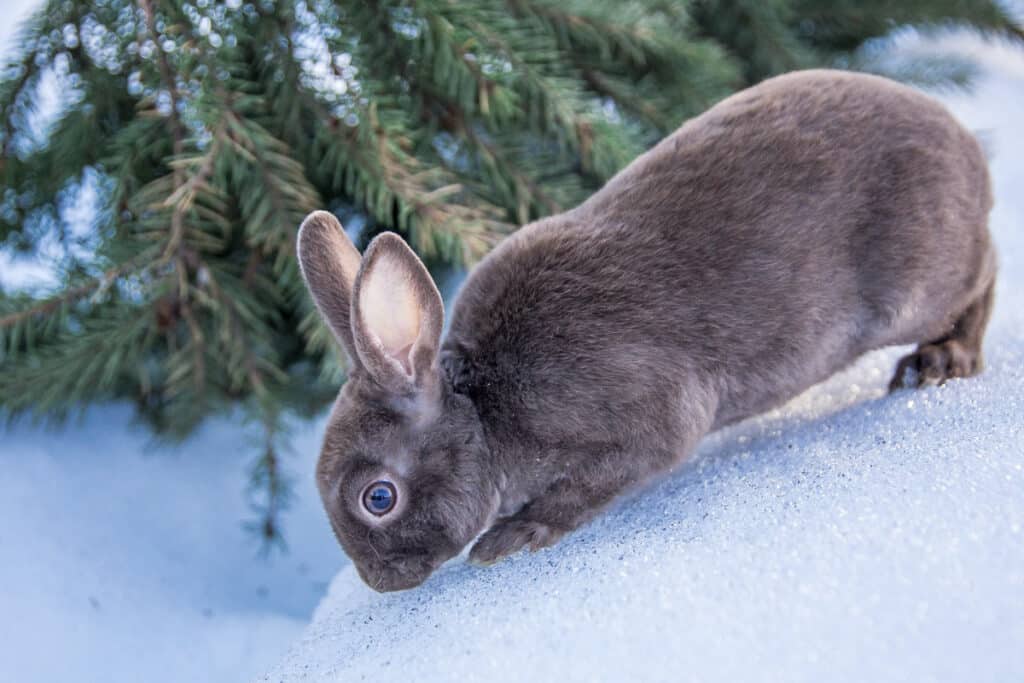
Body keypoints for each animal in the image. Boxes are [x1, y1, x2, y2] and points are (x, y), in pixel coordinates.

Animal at [298, 69, 996, 592]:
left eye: (378, 498)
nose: (382, 582)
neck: (483, 410)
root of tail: (966, 146)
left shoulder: (646, 419)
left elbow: (601, 481)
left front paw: (512, 536)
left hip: (915, 288)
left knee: (984, 272)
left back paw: (941, 361)